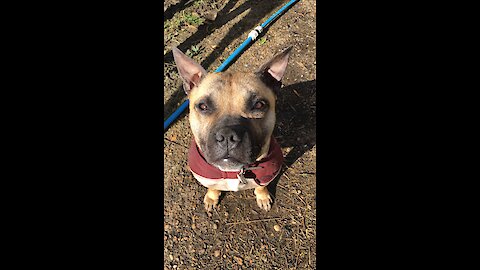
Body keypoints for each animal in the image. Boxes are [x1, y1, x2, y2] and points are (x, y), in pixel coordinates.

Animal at [172, 46, 292, 211]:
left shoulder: (266, 175)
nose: (228, 136)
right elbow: (212, 187)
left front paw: (263, 196)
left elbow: (261, 186)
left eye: (259, 105)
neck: (233, 172)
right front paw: (212, 197)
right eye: (203, 106)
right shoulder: (208, 178)